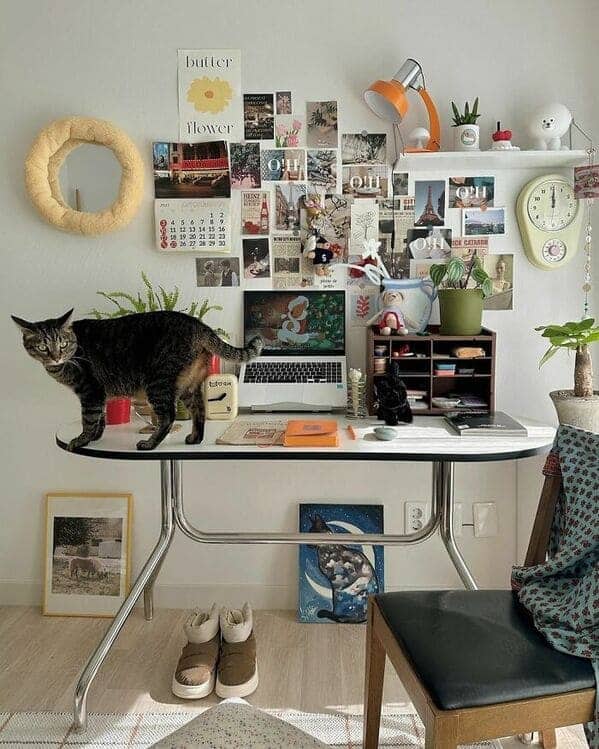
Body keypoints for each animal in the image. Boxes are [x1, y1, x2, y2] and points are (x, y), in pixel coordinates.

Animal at [12, 309, 262, 451]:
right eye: (42, 347)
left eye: (62, 343)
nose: (55, 356)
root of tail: (199, 325)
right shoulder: (99, 393)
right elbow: (100, 418)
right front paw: (96, 436)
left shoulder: (90, 390)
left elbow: (89, 419)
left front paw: (82, 440)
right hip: (187, 386)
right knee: (199, 410)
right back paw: (194, 438)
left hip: (158, 383)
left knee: (168, 416)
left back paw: (150, 444)